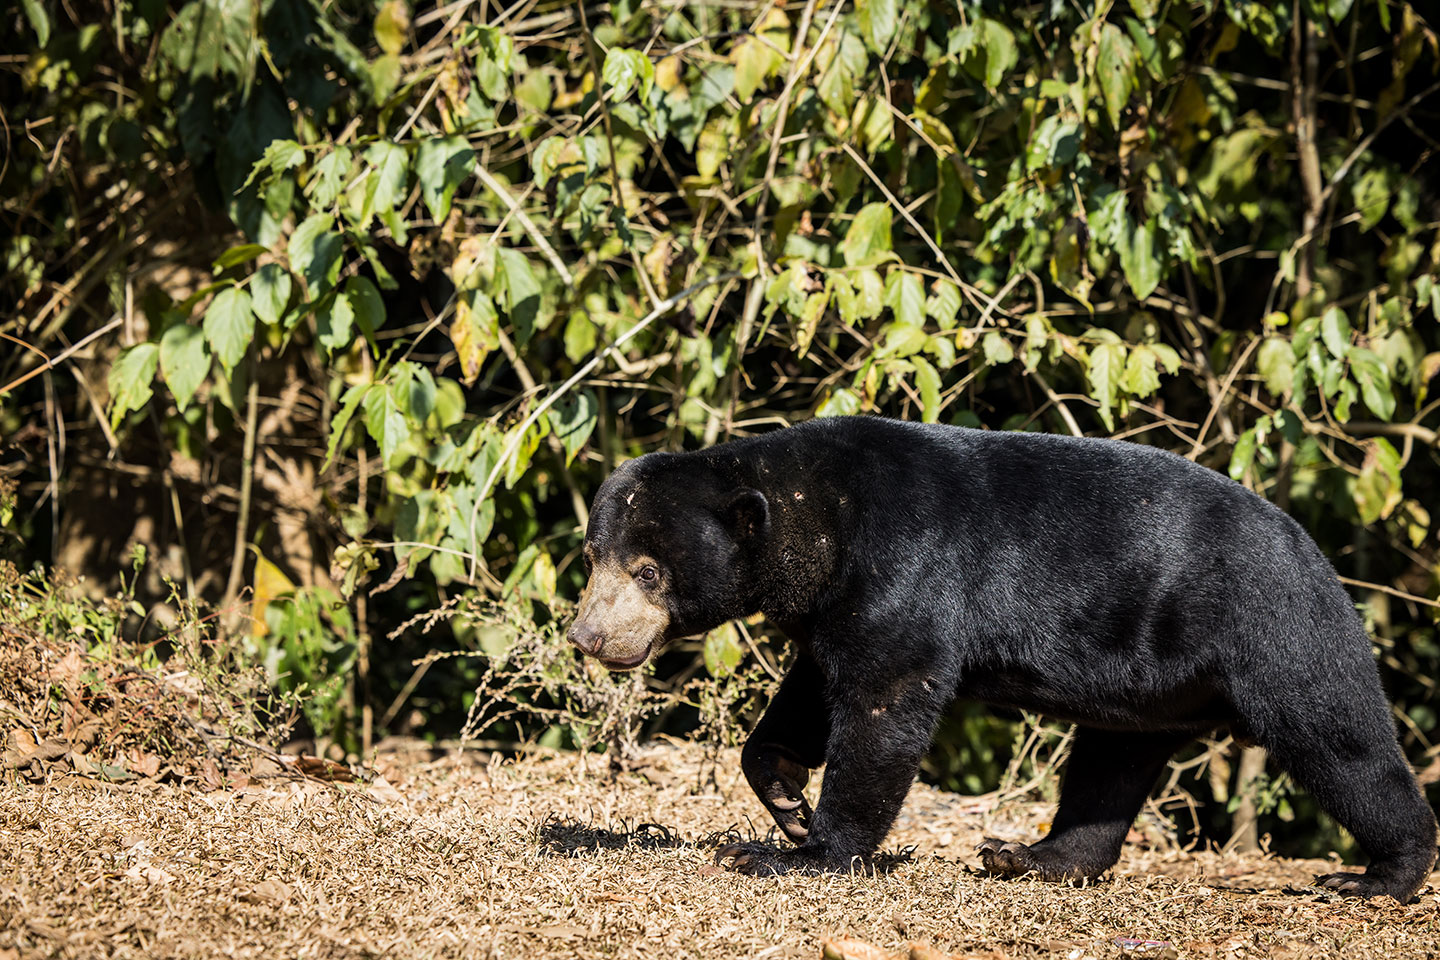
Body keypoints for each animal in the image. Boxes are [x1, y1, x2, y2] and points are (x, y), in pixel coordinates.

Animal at [566, 415, 1438, 901]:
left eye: (648, 572)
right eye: (593, 554)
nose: (588, 637)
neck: (822, 517)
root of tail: (1315, 551)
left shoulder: (906, 564)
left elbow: (888, 698)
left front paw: (802, 854)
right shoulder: (831, 605)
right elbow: (814, 687)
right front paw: (783, 798)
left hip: (1271, 627)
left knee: (1337, 737)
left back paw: (1376, 876)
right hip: (1152, 679)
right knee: (1110, 765)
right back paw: (1029, 856)